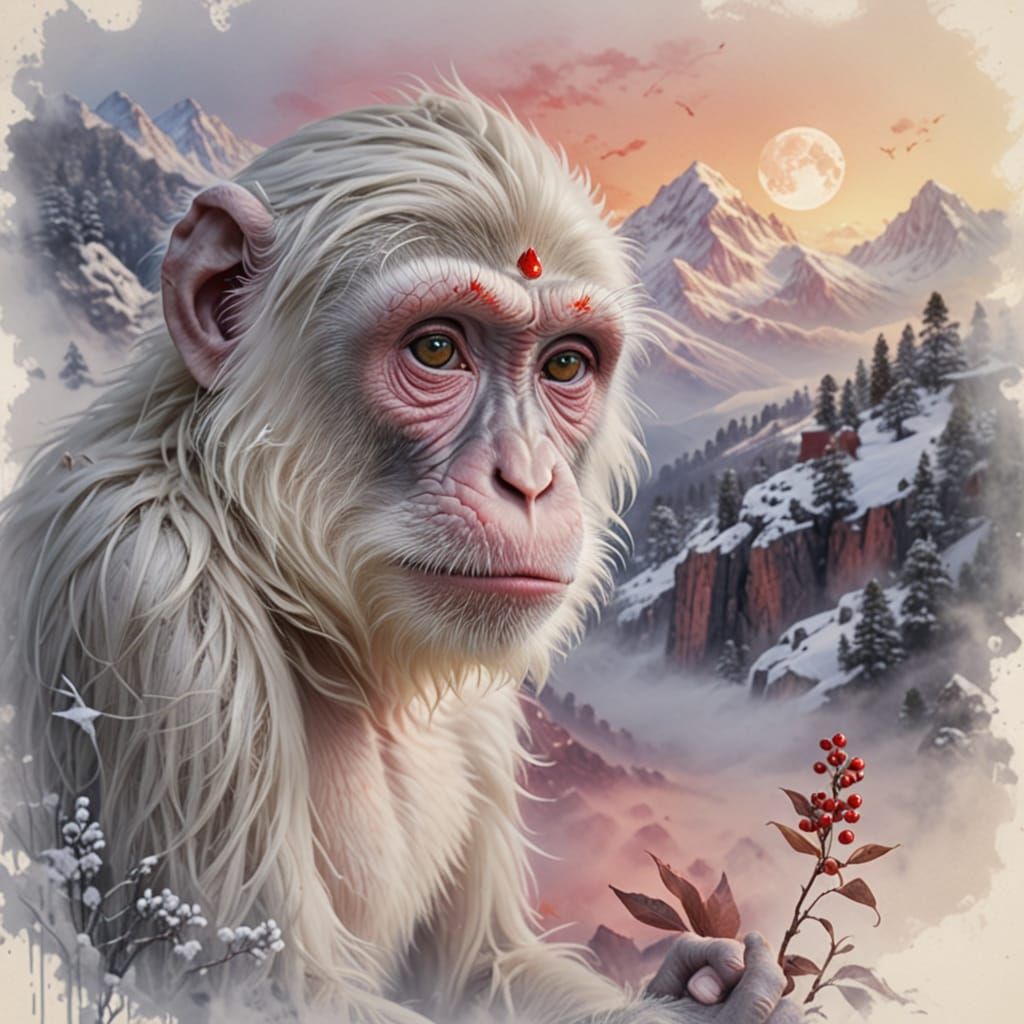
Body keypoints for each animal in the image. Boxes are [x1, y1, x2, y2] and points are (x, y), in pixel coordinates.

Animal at [0, 84, 800, 1024]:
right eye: (436, 348)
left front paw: (704, 979)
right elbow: (245, 989)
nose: (529, 479)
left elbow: (484, 970)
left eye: (565, 365)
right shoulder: (141, 596)